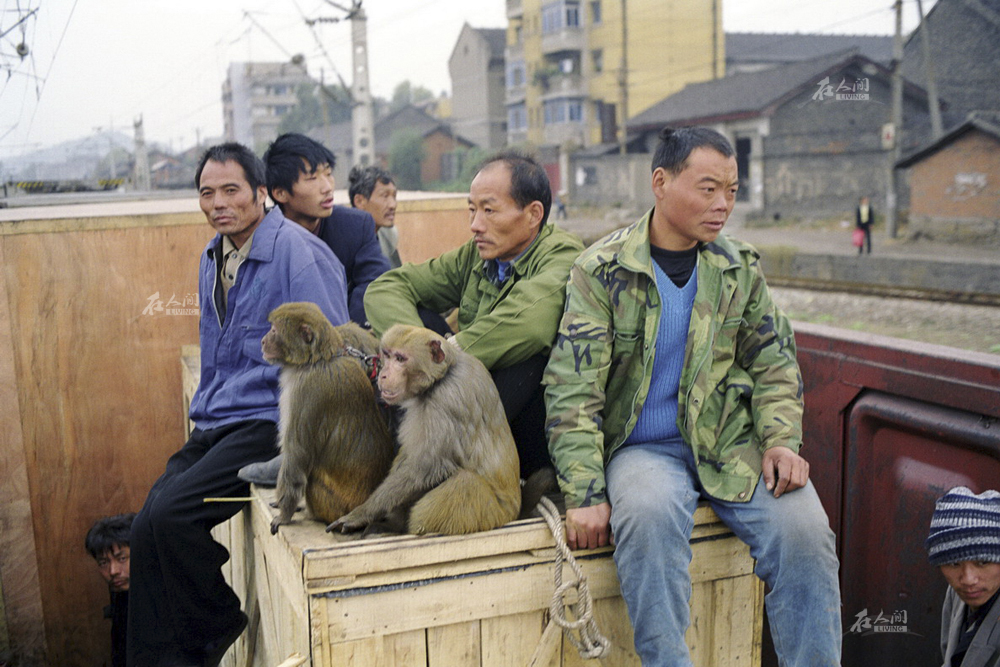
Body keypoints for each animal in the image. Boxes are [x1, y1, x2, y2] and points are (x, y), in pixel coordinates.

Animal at [262, 300, 394, 536]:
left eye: (274, 330)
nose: (263, 340)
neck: (317, 361)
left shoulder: (304, 392)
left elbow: (296, 457)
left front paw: (284, 515)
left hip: (332, 505)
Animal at [330, 324, 556, 536]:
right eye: (387, 354)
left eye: (401, 358)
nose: (384, 375)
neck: (443, 376)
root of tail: (515, 512)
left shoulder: (448, 400)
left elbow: (426, 466)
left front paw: (361, 514)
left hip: (492, 514)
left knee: (465, 483)